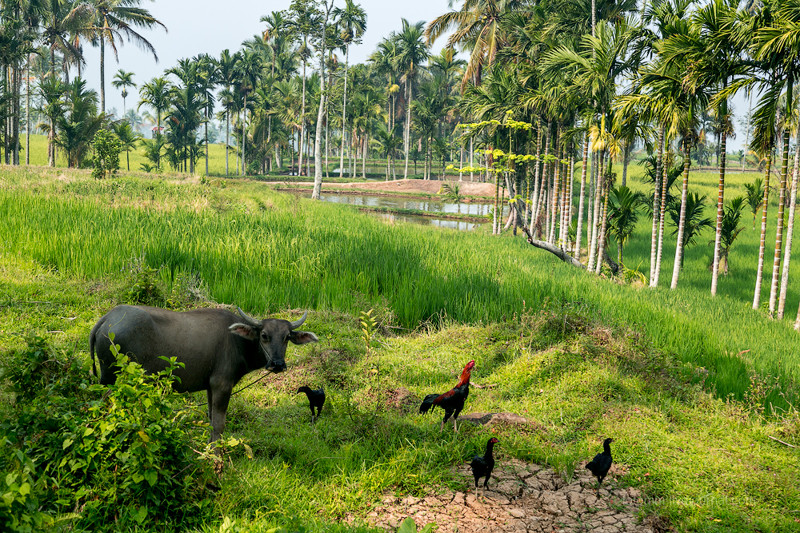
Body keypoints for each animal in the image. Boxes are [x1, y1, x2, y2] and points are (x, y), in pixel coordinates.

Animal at [90, 304, 318, 440]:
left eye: (287, 337)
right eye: (264, 335)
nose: (277, 364)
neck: (238, 341)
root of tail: (106, 319)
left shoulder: (210, 386)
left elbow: (210, 419)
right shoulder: (222, 384)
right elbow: (219, 424)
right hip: (113, 380)